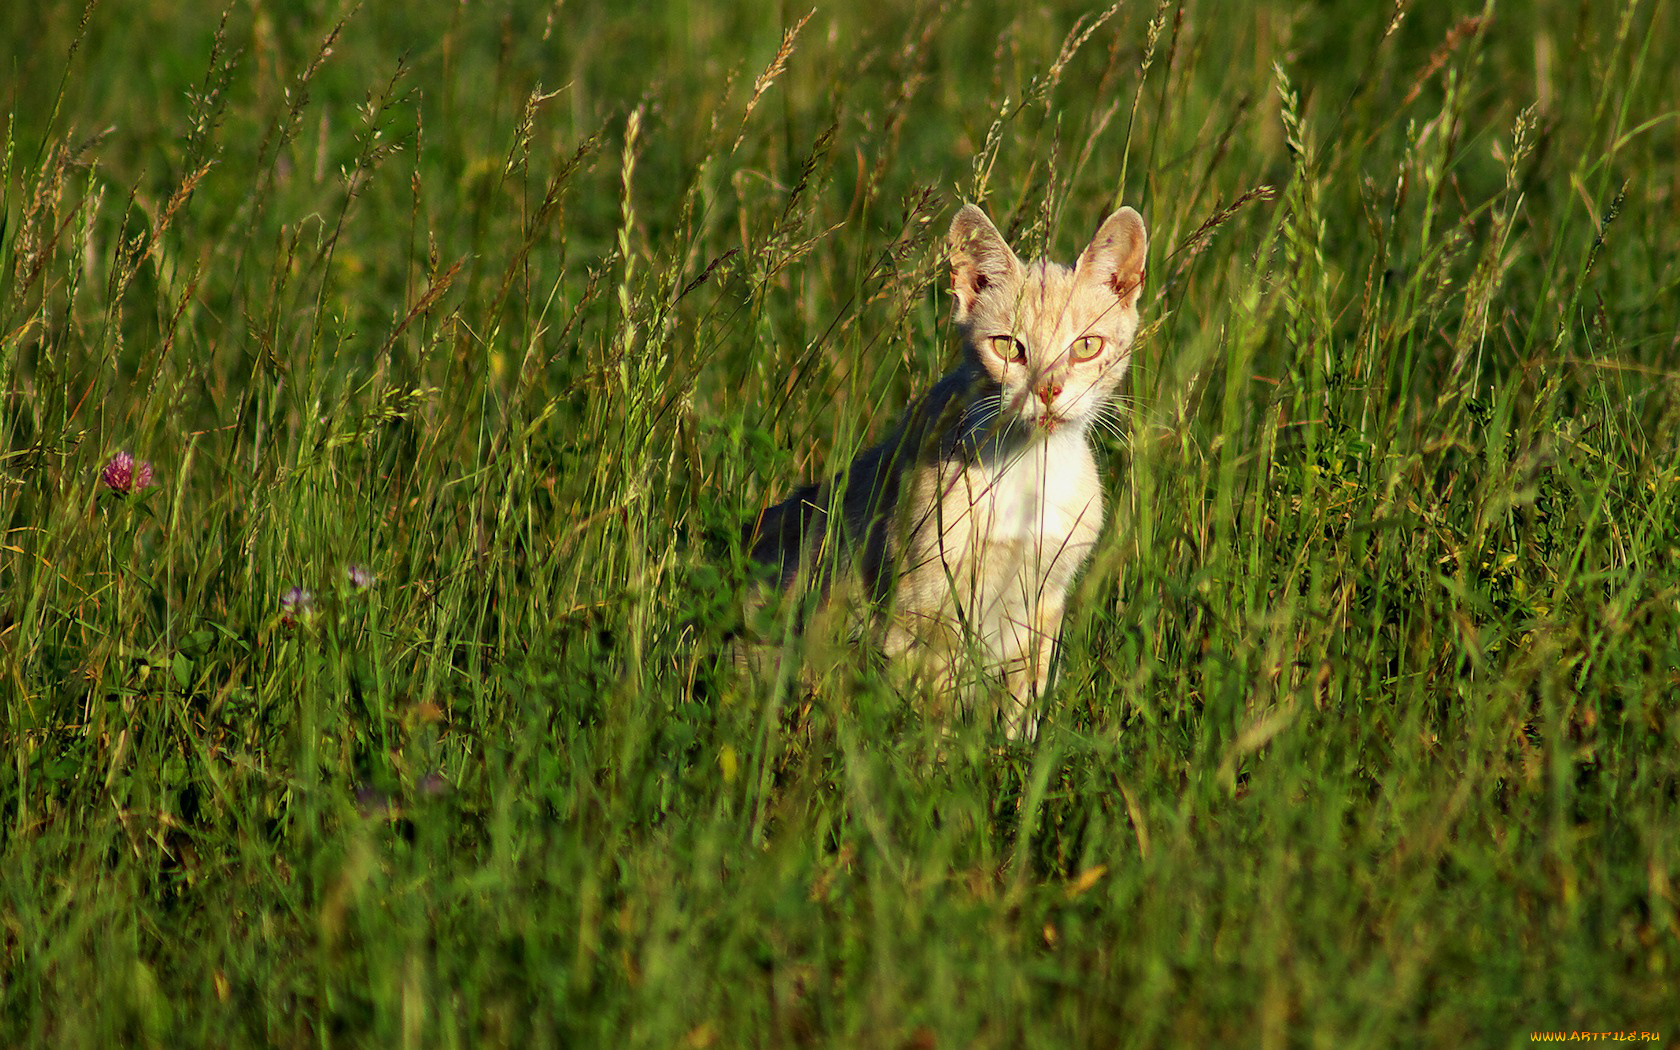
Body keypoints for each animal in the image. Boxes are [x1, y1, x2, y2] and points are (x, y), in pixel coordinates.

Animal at [745, 196, 1149, 735]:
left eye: (1087, 346)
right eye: (1008, 346)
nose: (1047, 389)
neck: (1030, 468)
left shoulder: (1044, 600)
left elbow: (1024, 701)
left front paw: (1015, 751)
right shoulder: (923, 605)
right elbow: (929, 710)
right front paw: (936, 754)